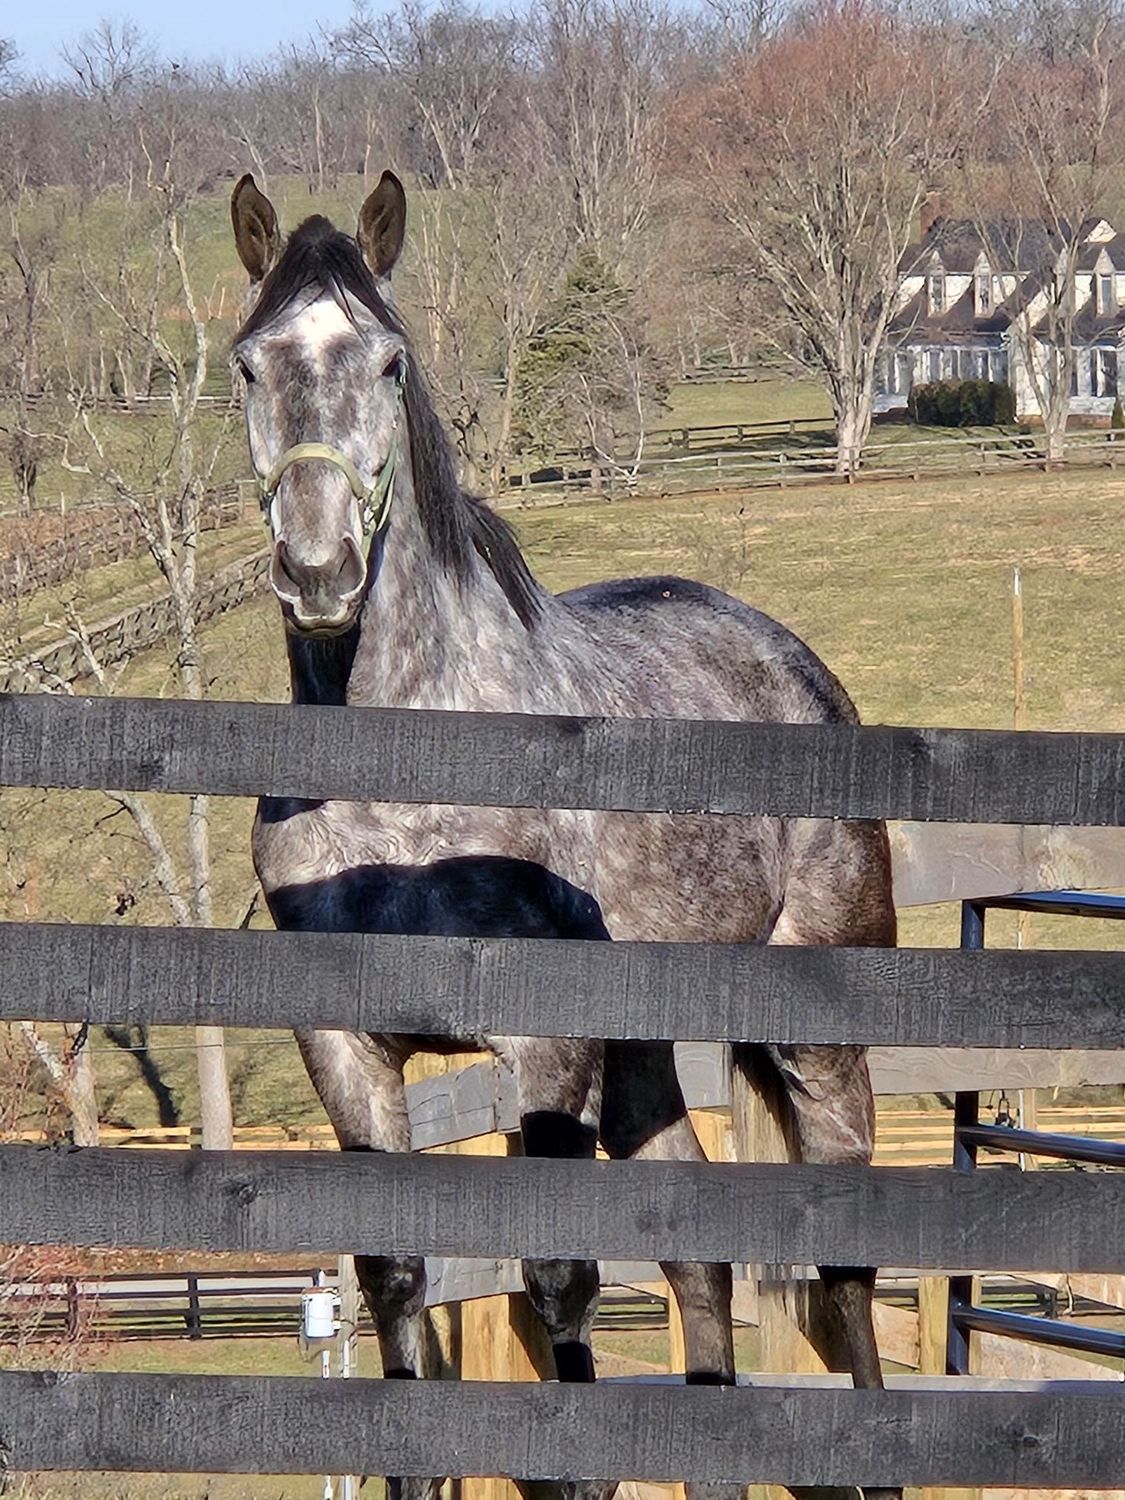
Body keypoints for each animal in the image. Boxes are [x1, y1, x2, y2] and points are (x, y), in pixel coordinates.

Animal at [230, 169, 900, 1500]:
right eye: (248, 363)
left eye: (389, 360)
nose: (320, 571)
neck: (406, 785)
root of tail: (794, 663)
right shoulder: (346, 1049)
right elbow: (397, 1287)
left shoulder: (543, 1046)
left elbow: (558, 1287)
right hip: (640, 1049)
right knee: (699, 1258)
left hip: (815, 1033)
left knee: (842, 1270)